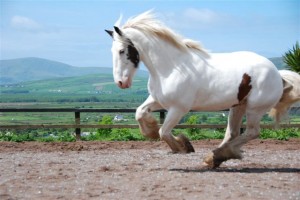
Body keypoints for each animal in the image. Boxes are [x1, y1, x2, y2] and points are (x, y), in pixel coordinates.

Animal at [105, 10, 300, 167]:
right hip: (238, 106)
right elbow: (140, 113)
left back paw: (219, 155)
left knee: (252, 132)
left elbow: (164, 132)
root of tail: (277, 74)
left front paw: (183, 146)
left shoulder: (179, 108)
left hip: (255, 108)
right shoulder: (157, 100)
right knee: (232, 133)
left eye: (122, 51)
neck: (172, 67)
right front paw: (151, 131)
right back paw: (215, 158)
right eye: (112, 51)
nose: (121, 82)